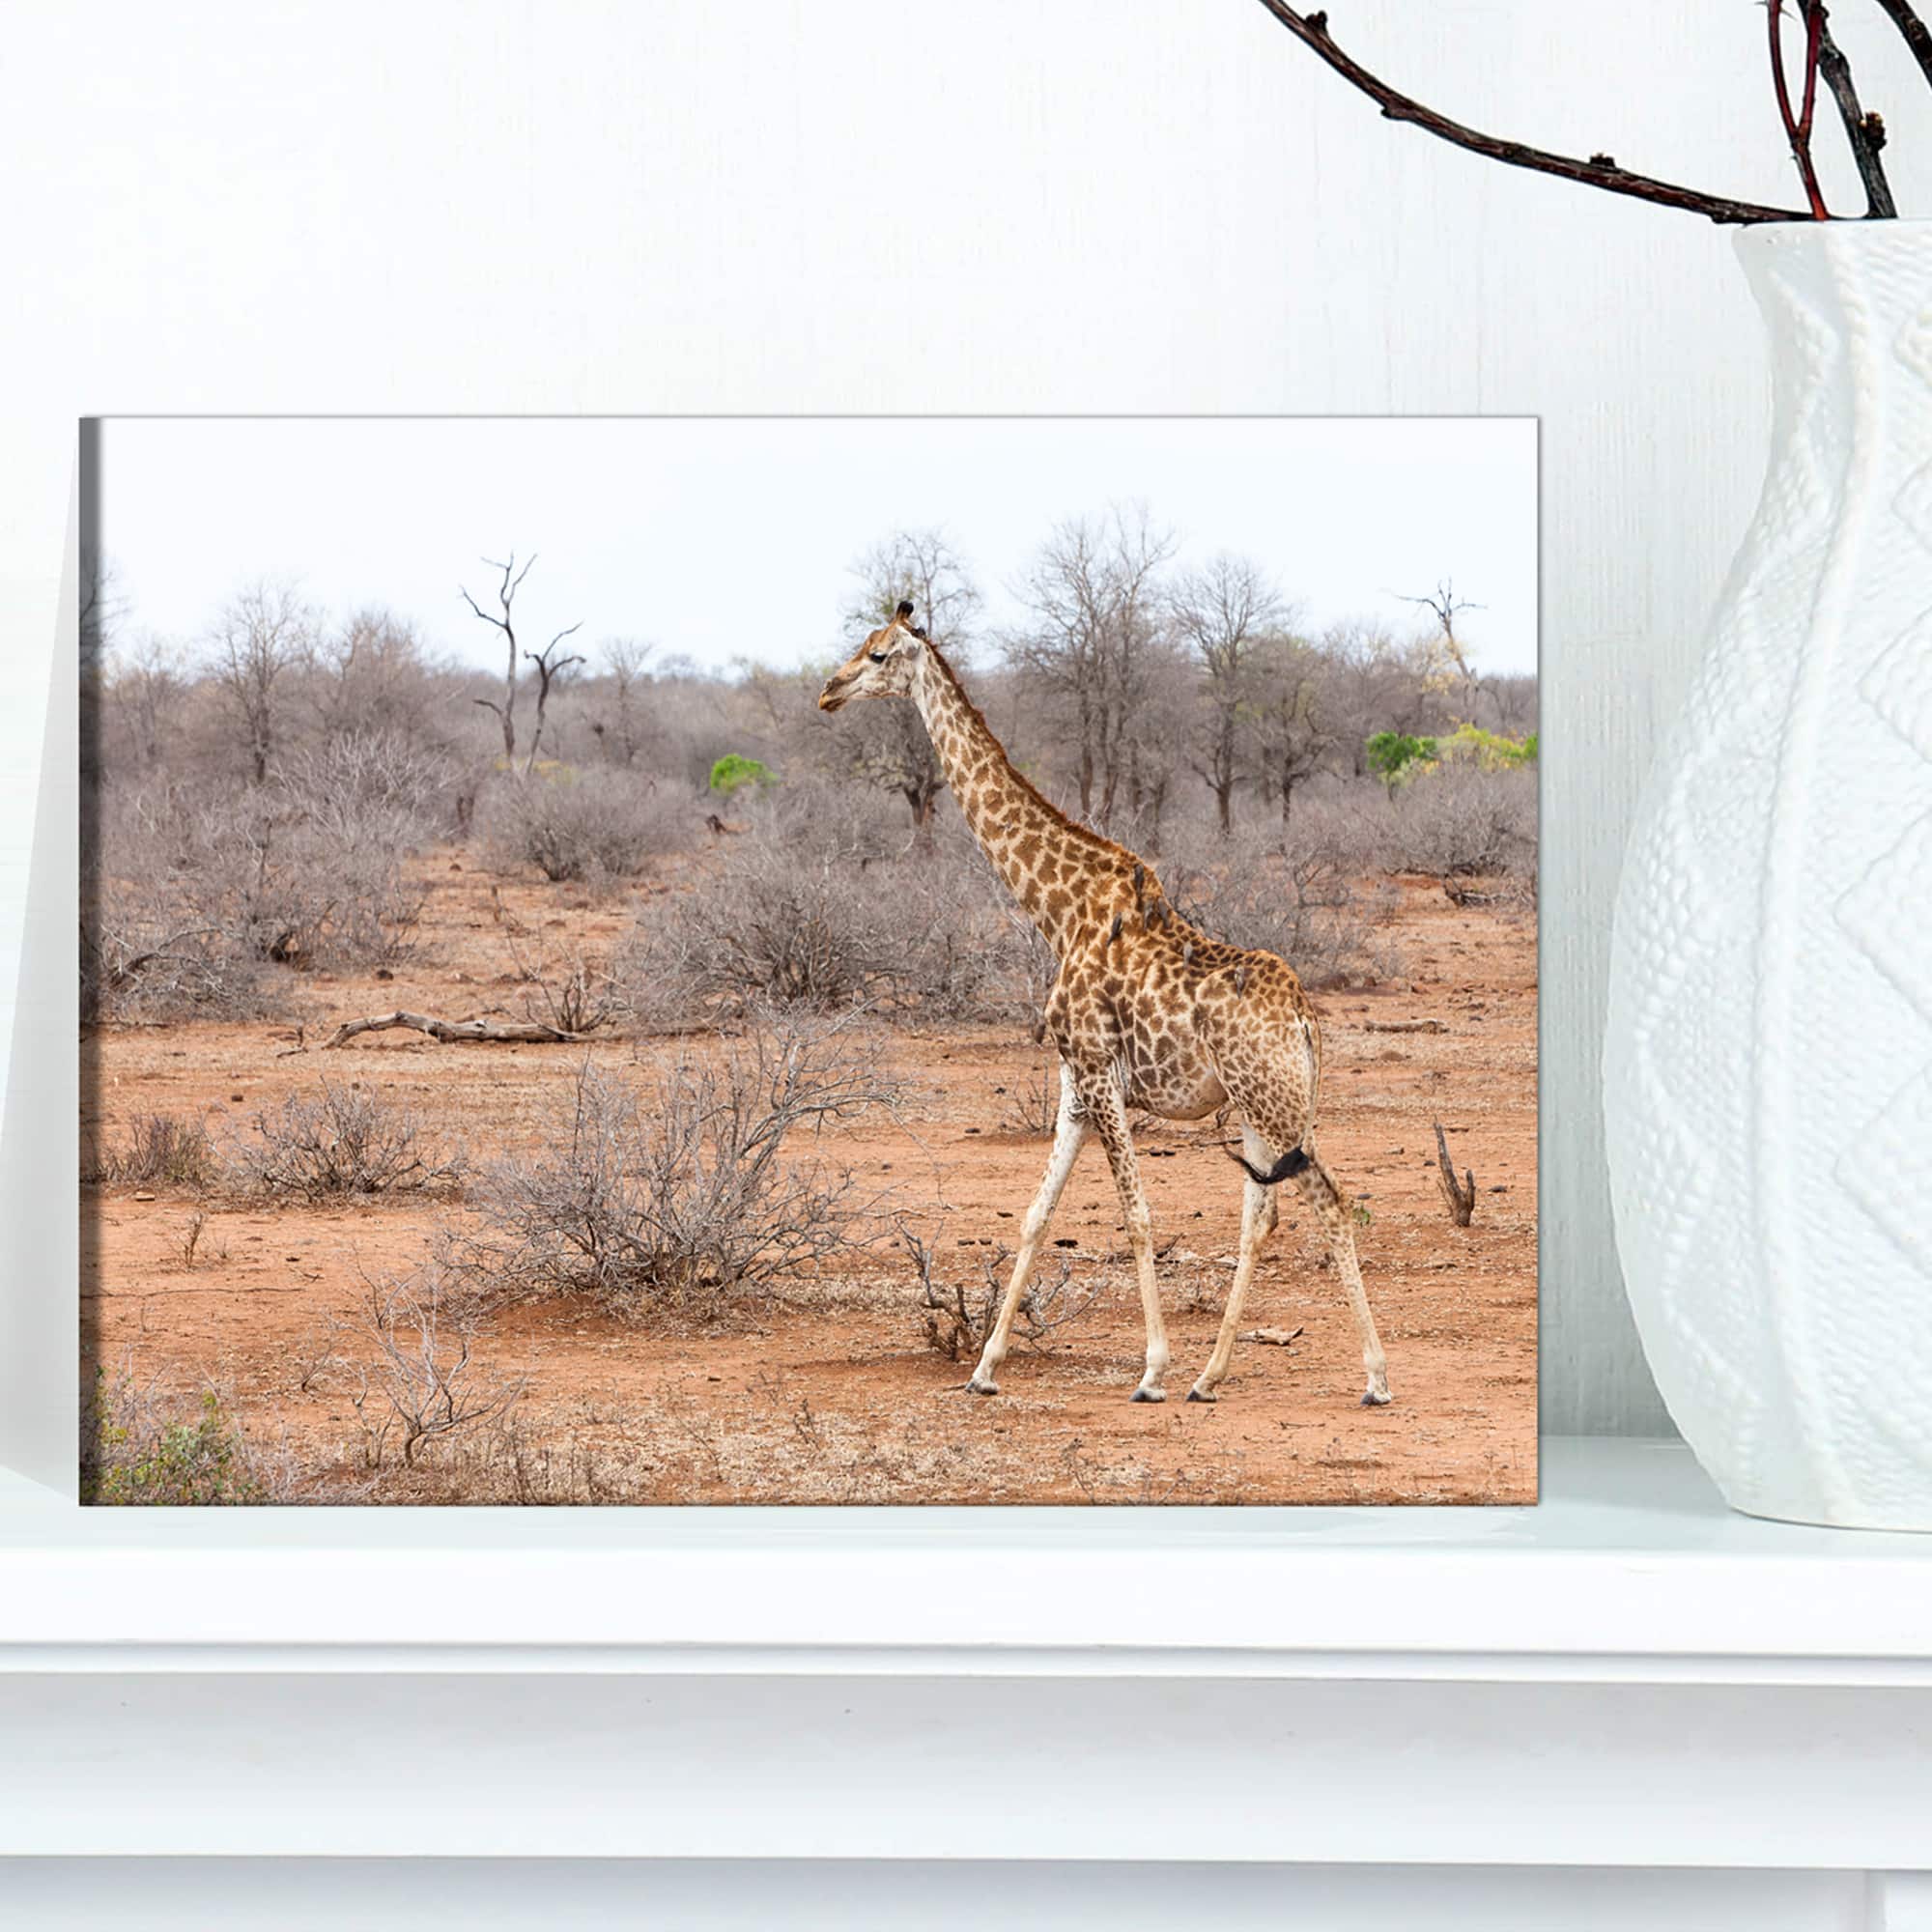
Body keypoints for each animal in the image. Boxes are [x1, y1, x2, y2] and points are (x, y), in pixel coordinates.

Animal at [818, 602, 1392, 1408]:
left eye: (876, 655)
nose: (828, 691)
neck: (1057, 912)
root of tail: (1306, 1021)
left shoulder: (1098, 1073)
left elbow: (1138, 1216)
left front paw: (1151, 1371)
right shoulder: (1074, 1083)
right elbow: (1035, 1216)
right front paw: (984, 1369)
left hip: (1275, 1107)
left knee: (1331, 1205)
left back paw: (1372, 1378)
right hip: (1261, 1108)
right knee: (1263, 1217)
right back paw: (1211, 1376)